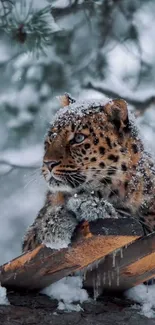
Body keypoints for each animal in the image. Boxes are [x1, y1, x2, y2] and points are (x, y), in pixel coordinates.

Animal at [22, 92, 155, 252]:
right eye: (53, 136)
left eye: (79, 138)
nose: (48, 163)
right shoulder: (29, 238)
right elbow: (35, 233)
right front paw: (54, 224)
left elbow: (132, 219)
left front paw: (90, 205)